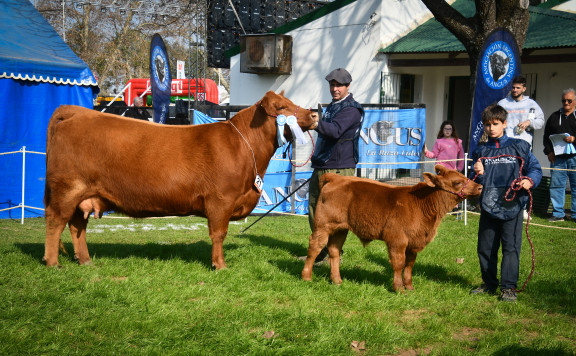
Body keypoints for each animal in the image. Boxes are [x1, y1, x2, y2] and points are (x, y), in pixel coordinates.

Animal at [44, 90, 320, 268]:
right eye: (281, 108)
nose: (314, 115)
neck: (244, 148)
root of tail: (76, 112)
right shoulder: (220, 200)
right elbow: (218, 234)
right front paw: (219, 265)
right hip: (67, 190)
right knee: (55, 222)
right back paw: (53, 262)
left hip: (84, 195)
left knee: (77, 226)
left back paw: (86, 261)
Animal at [302, 165, 482, 290]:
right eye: (457, 182)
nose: (480, 187)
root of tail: (335, 177)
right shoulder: (397, 239)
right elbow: (399, 263)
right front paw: (399, 289)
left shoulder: (414, 242)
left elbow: (409, 264)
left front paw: (409, 287)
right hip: (323, 225)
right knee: (315, 247)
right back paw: (306, 277)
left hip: (340, 229)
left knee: (334, 251)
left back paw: (337, 281)